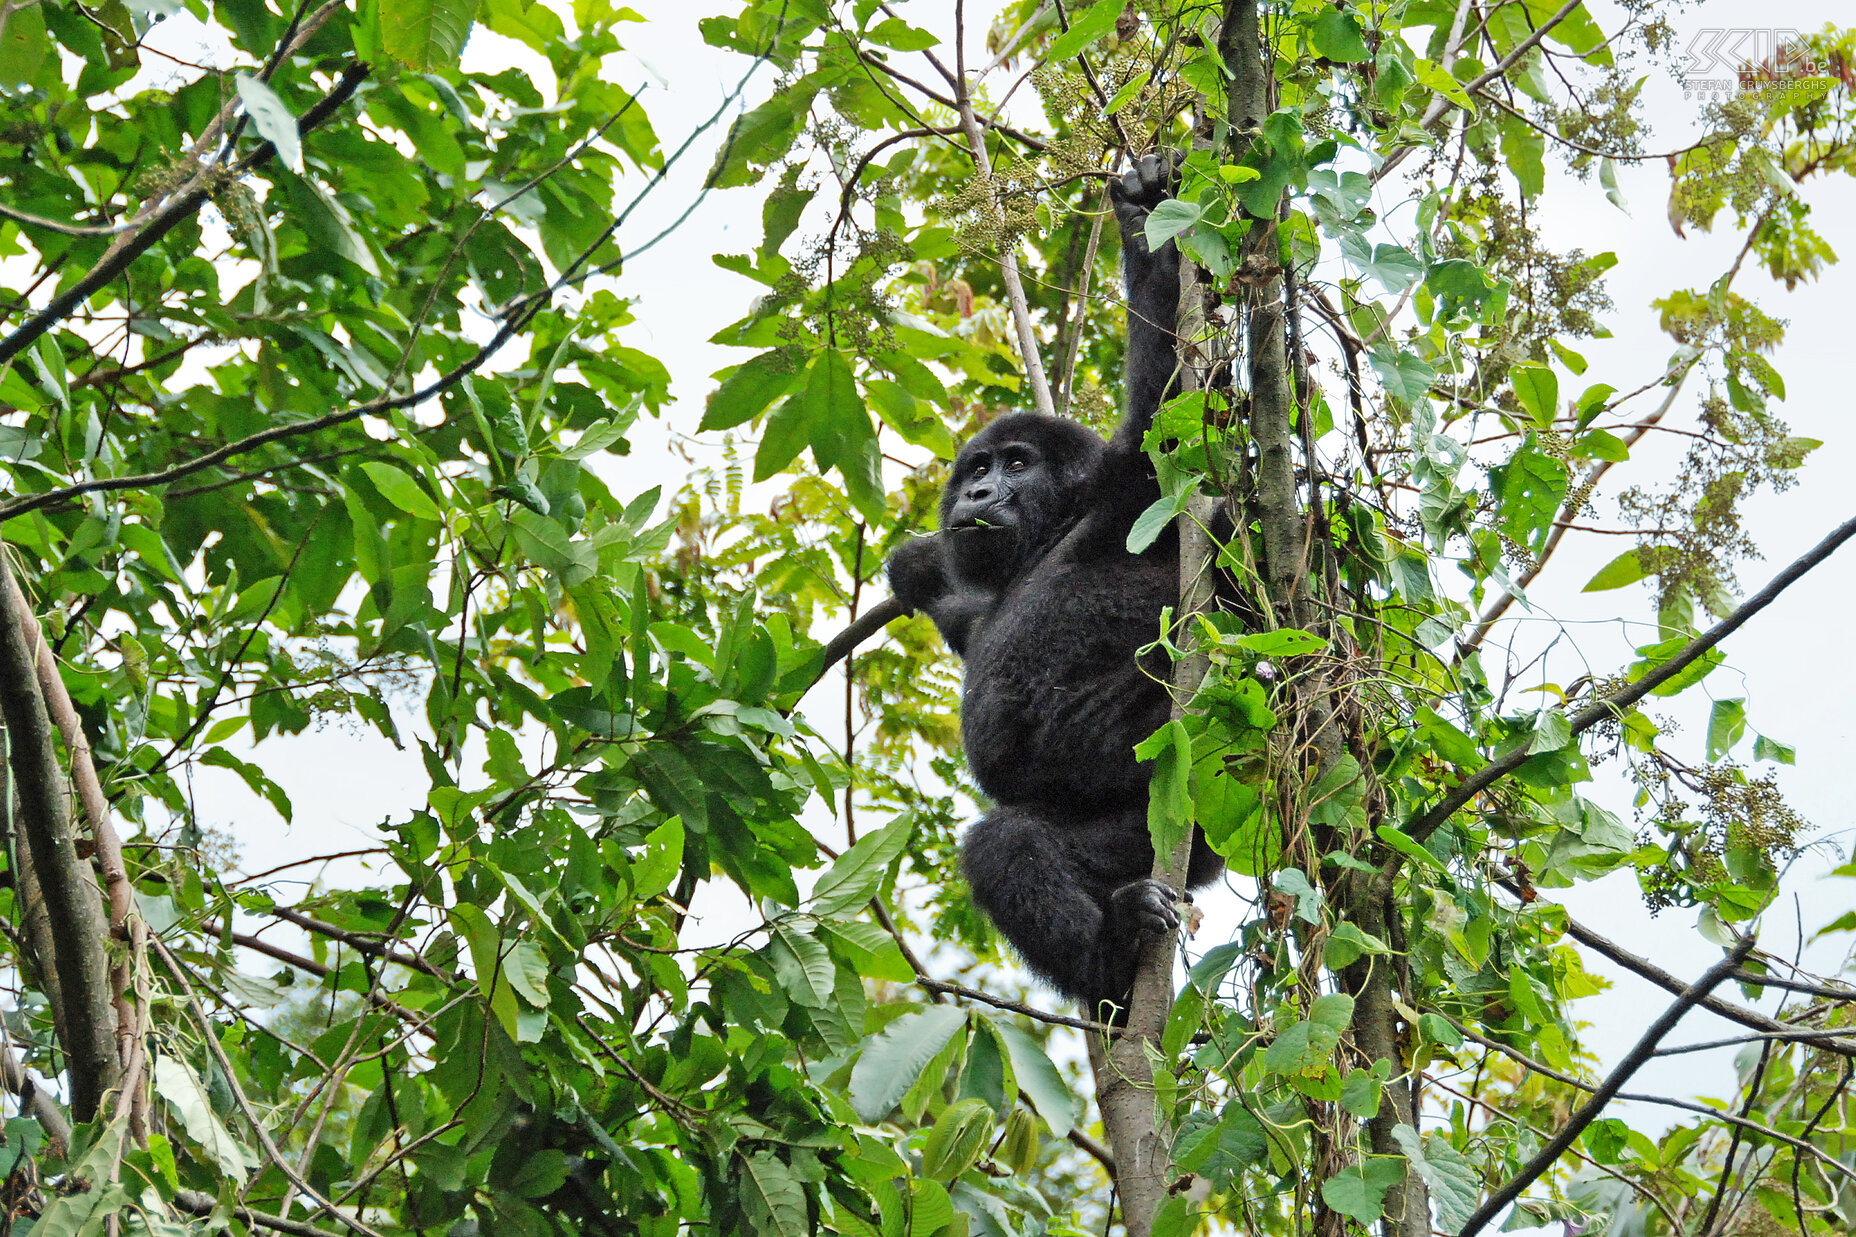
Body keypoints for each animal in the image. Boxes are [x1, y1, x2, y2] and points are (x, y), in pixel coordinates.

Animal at [883, 151, 1217, 1010]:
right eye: (977, 468)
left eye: (1015, 464)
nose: (975, 493)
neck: (1049, 535)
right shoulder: (973, 590)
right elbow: (937, 584)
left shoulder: (1127, 490)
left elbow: (1170, 410)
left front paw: (1145, 222)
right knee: (1016, 842)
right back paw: (1114, 954)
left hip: (1186, 794)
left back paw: (1112, 949)